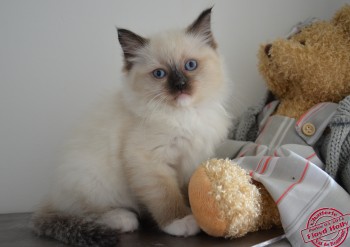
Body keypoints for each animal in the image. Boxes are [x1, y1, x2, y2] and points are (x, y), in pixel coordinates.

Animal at [32, 6, 234, 246]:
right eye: (160, 74)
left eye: (190, 65)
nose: (180, 85)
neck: (183, 116)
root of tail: (51, 195)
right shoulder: (149, 161)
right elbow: (167, 195)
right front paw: (181, 220)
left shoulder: (192, 160)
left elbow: (187, 191)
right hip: (92, 181)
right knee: (83, 212)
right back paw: (123, 219)